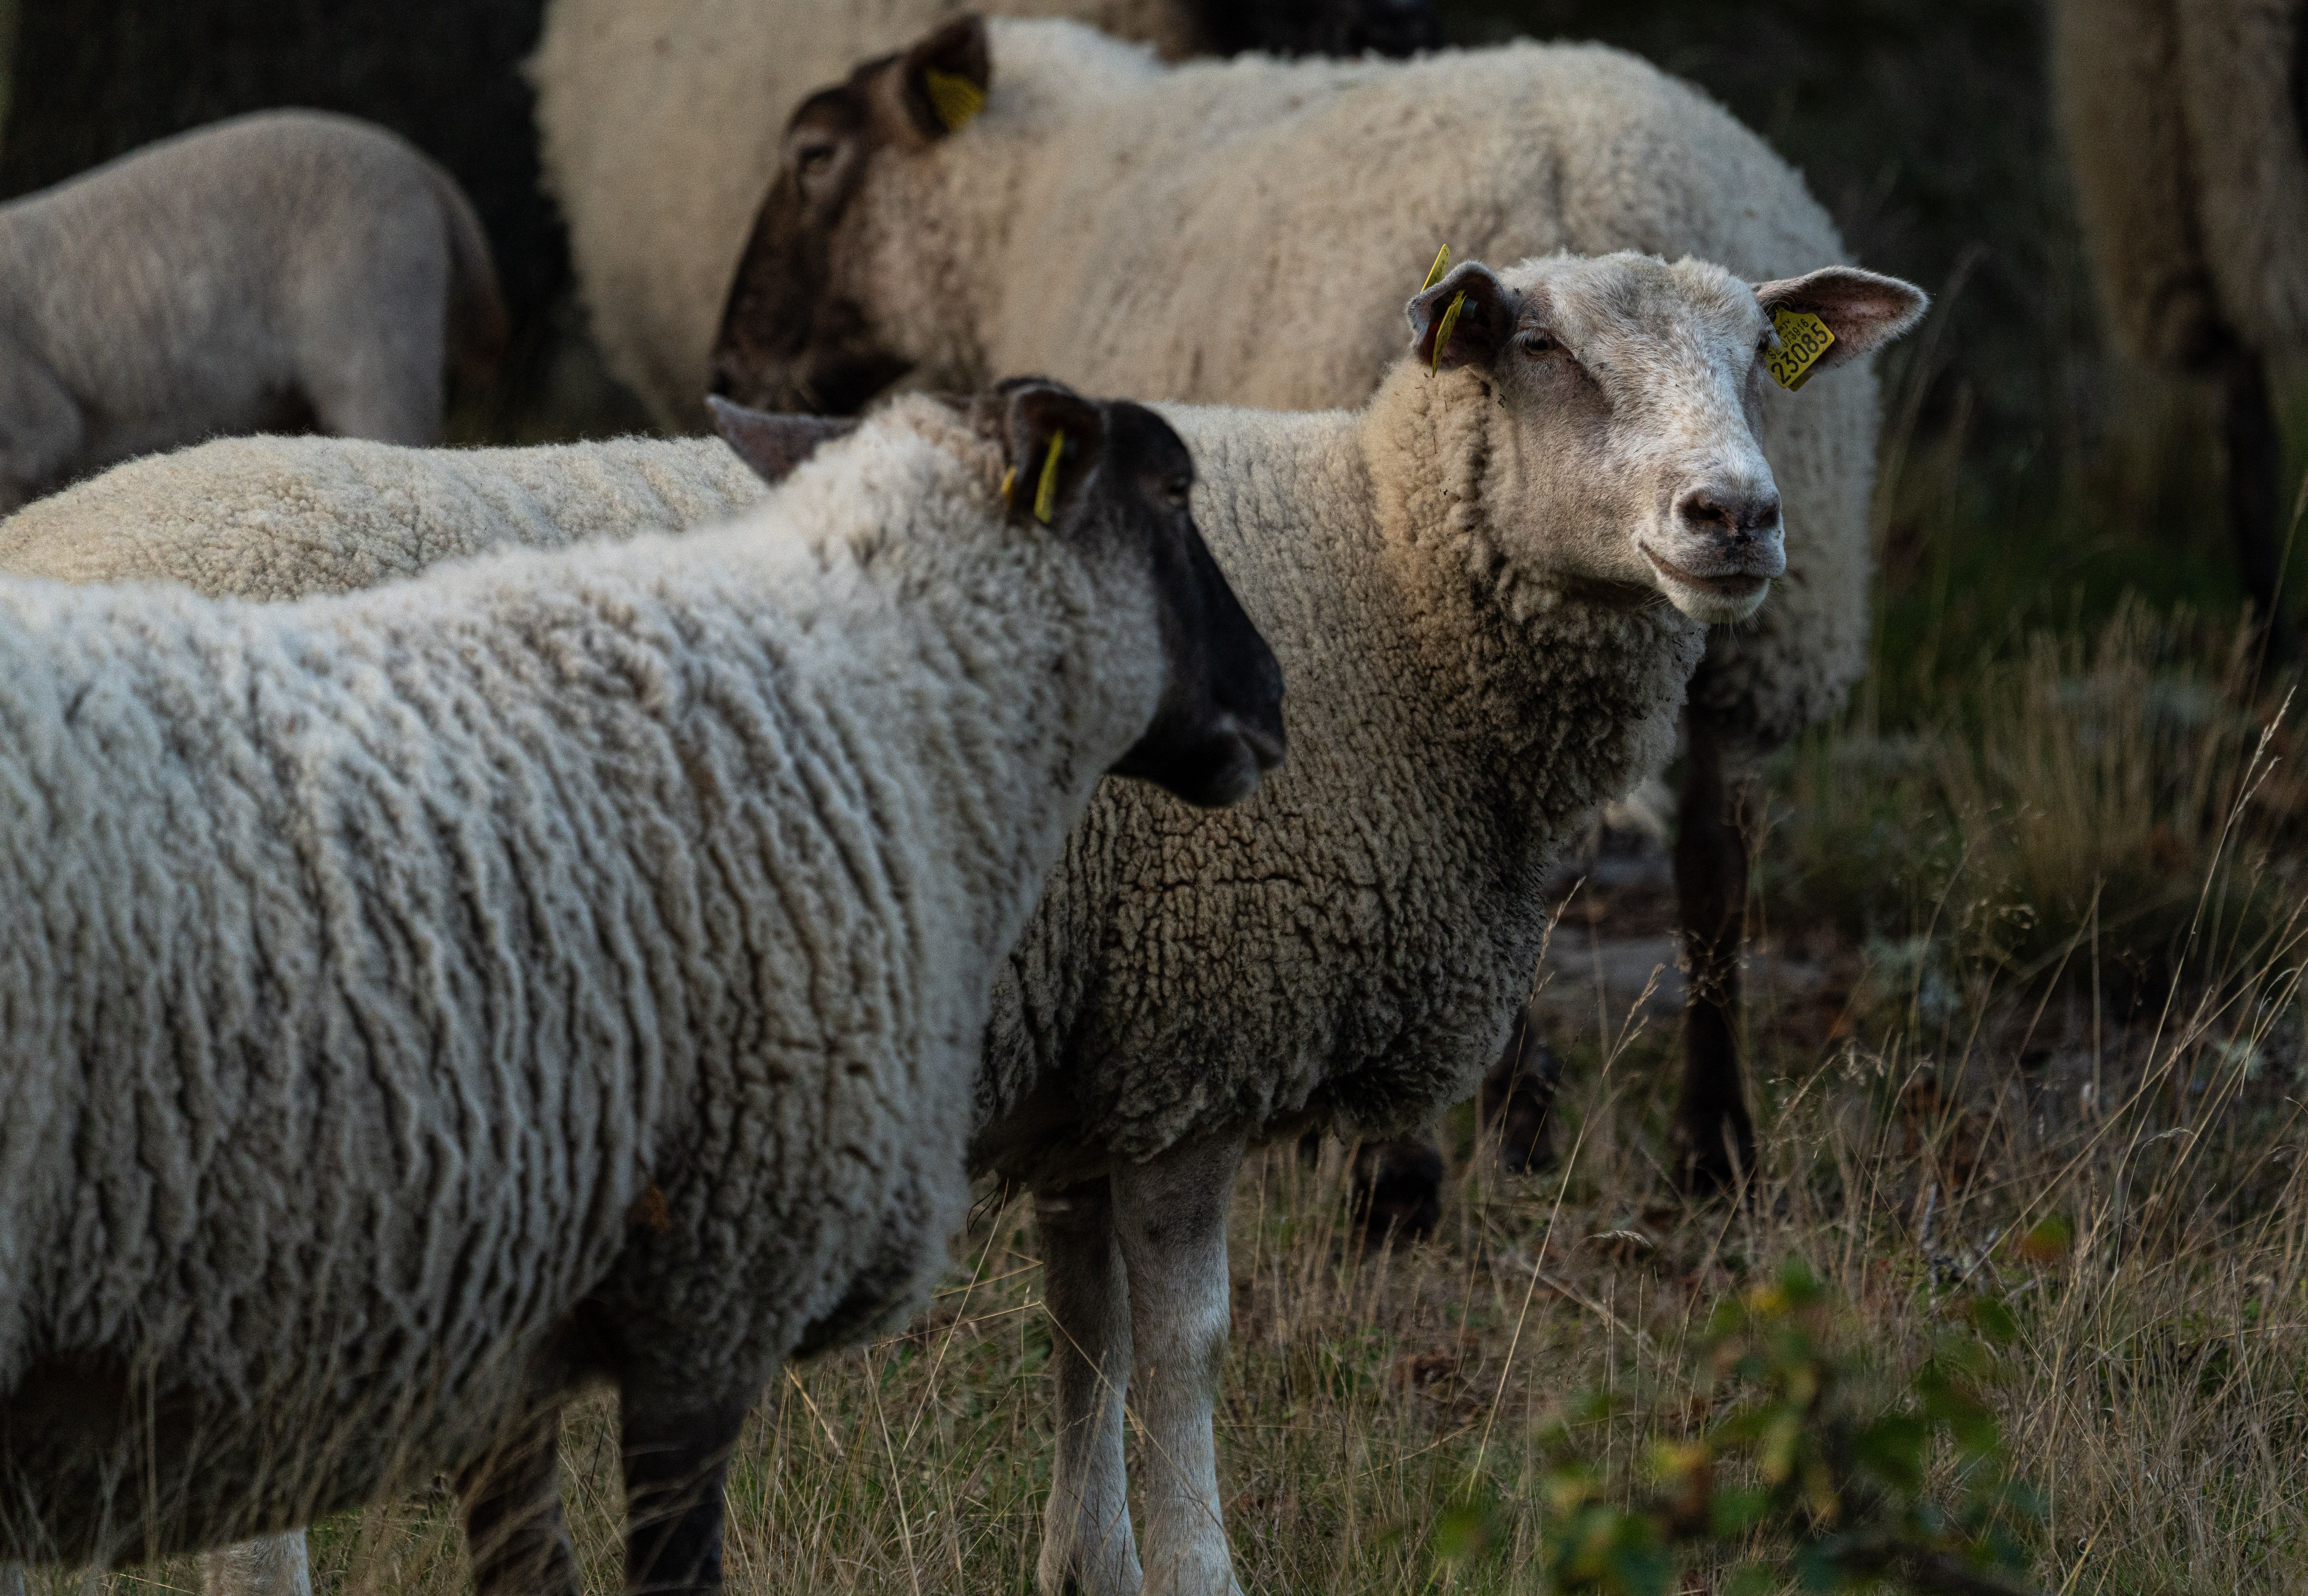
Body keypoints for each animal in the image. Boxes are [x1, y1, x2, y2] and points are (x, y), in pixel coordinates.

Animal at [711, 15, 1899, 1192]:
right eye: (1543, 349)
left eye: (814, 157)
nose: (733, 362)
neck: (1023, 199)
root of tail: (1591, 173)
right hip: (1760, 640)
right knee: (1712, 866)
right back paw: (1701, 1147)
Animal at [964, 252, 1926, 1596]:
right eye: (1538, 346)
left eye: (1753, 356)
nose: (1734, 516)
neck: (1375, 575)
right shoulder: (1200, 1021)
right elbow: (1183, 1336)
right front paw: (1196, 1567)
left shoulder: (1095, 1041)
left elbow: (1081, 1316)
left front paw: (1084, 1563)